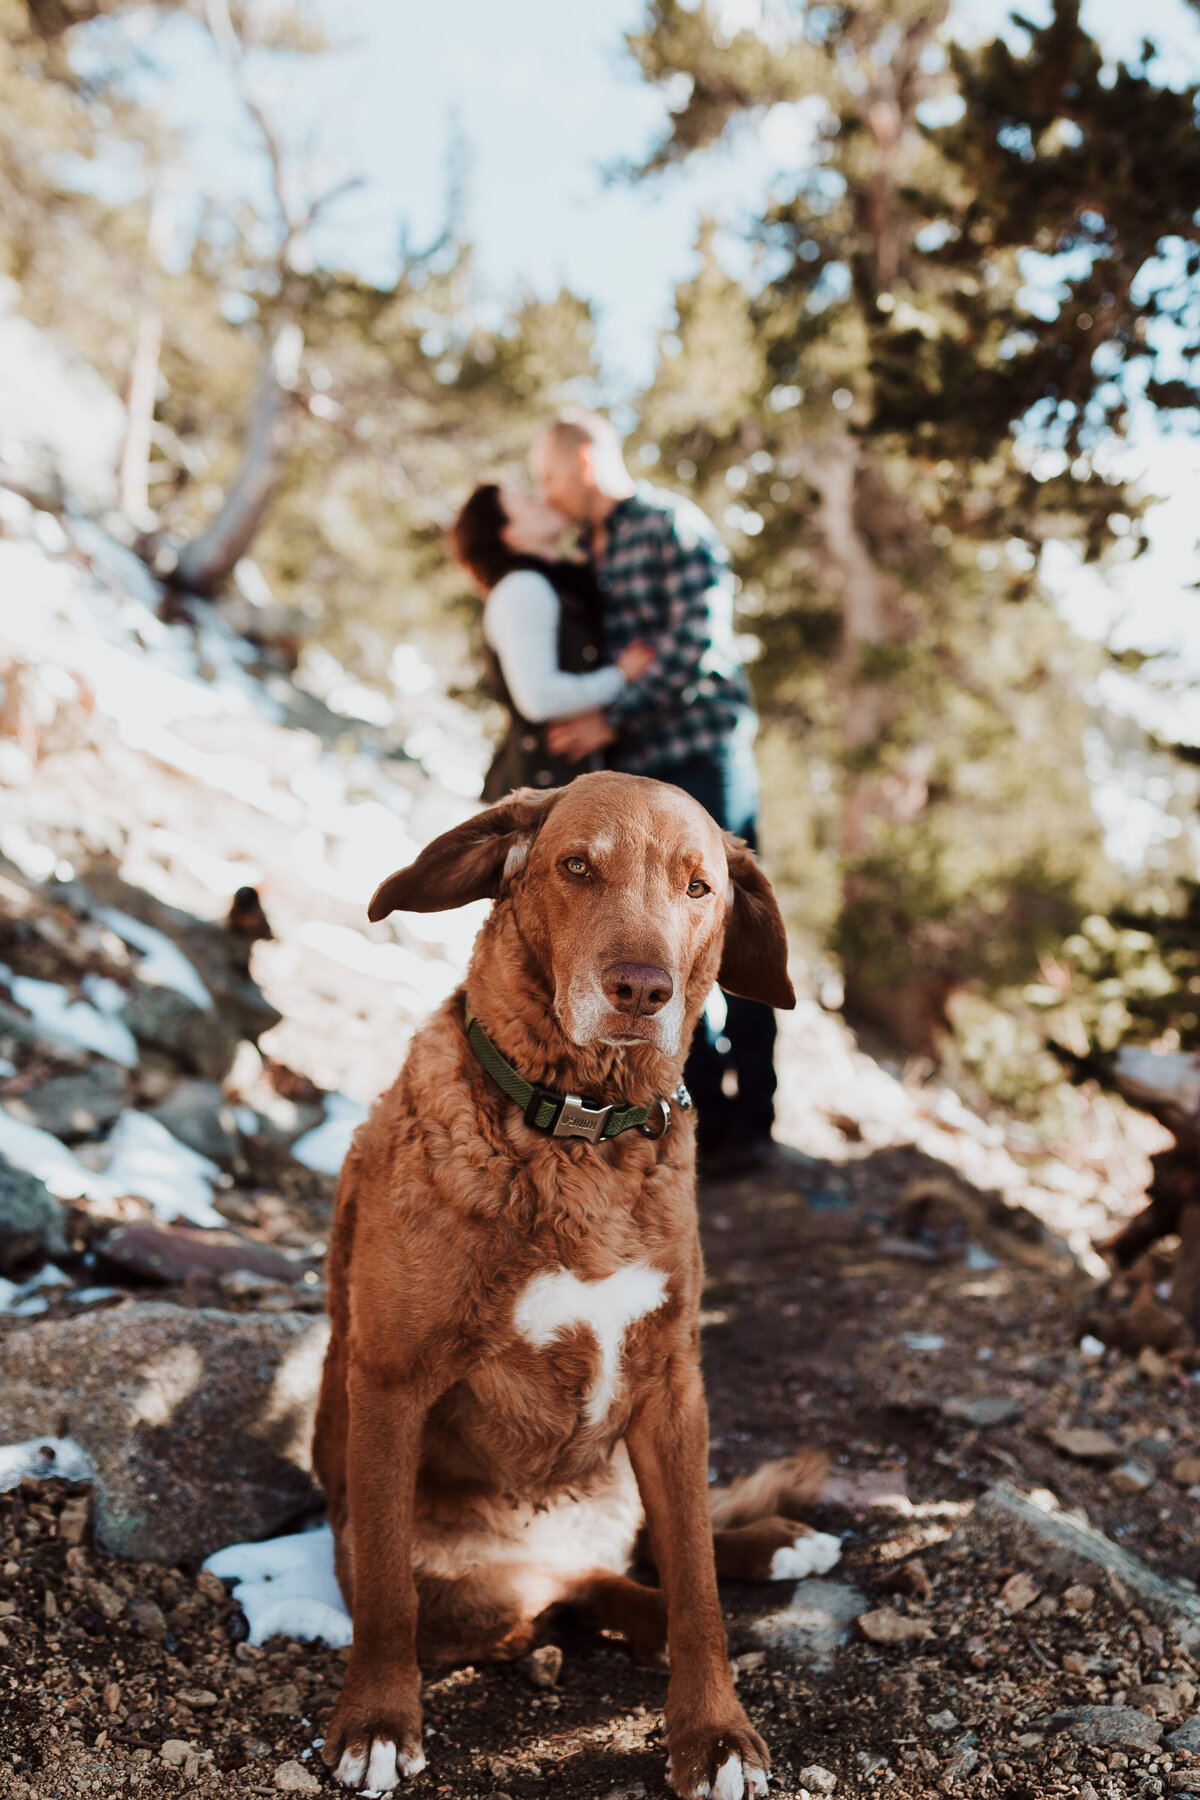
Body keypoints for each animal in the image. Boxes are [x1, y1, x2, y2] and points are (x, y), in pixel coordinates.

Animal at [313, 774, 834, 1800]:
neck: (580, 1129)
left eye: (698, 887)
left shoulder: (673, 1389)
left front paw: (715, 1732)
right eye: (577, 867)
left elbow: (700, 1588)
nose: (642, 989)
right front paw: (377, 1723)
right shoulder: (390, 1380)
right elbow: (387, 1597)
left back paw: (769, 1545)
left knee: (658, 1557)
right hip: (457, 1579)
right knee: (572, 1594)